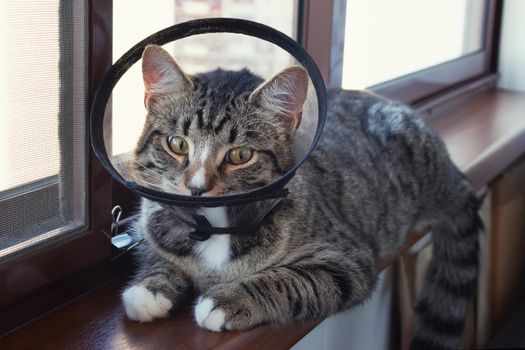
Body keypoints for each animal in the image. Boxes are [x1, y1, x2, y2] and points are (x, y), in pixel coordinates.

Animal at [122, 43, 478, 350]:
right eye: (177, 144)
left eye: (240, 155)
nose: (197, 188)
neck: (216, 225)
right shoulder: (149, 219)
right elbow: (153, 248)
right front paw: (149, 288)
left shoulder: (347, 260)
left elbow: (293, 280)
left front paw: (227, 301)